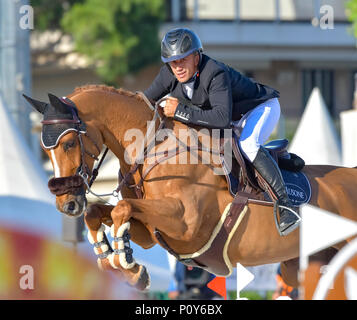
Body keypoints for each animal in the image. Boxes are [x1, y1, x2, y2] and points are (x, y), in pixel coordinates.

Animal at [25, 86, 357, 292]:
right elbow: (98, 212)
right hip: (305, 264)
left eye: (69, 143)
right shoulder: (151, 232)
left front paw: (127, 265)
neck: (150, 150)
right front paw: (118, 265)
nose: (66, 204)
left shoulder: (186, 223)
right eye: (45, 150)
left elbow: (121, 208)